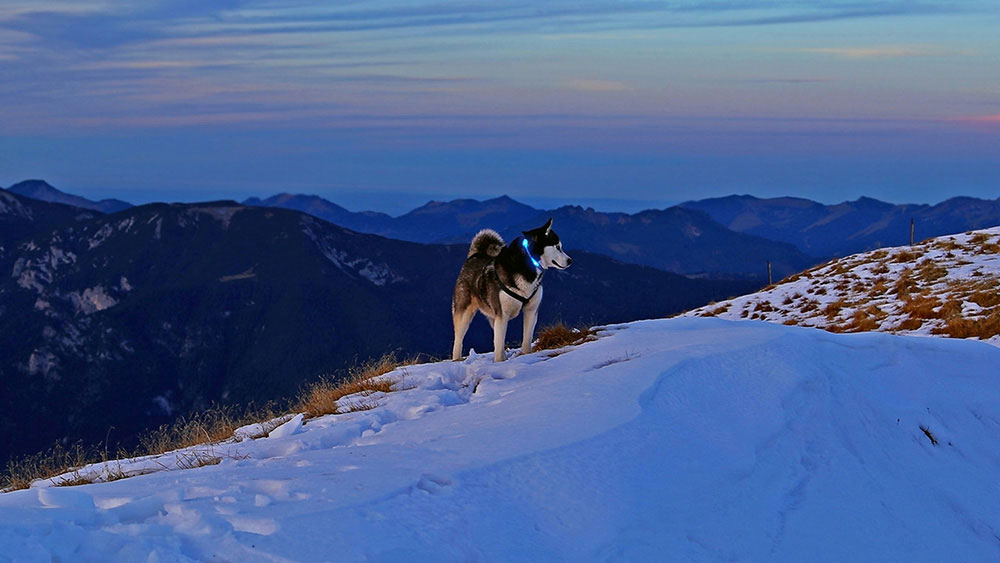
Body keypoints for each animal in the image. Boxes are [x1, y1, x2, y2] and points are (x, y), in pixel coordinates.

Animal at [452, 218, 572, 364]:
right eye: (558, 247)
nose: (570, 260)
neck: (527, 265)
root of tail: (474, 256)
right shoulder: (502, 315)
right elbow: (498, 344)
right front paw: (499, 363)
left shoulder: (531, 311)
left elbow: (526, 339)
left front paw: (526, 356)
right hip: (465, 313)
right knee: (458, 340)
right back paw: (456, 359)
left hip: (493, 316)